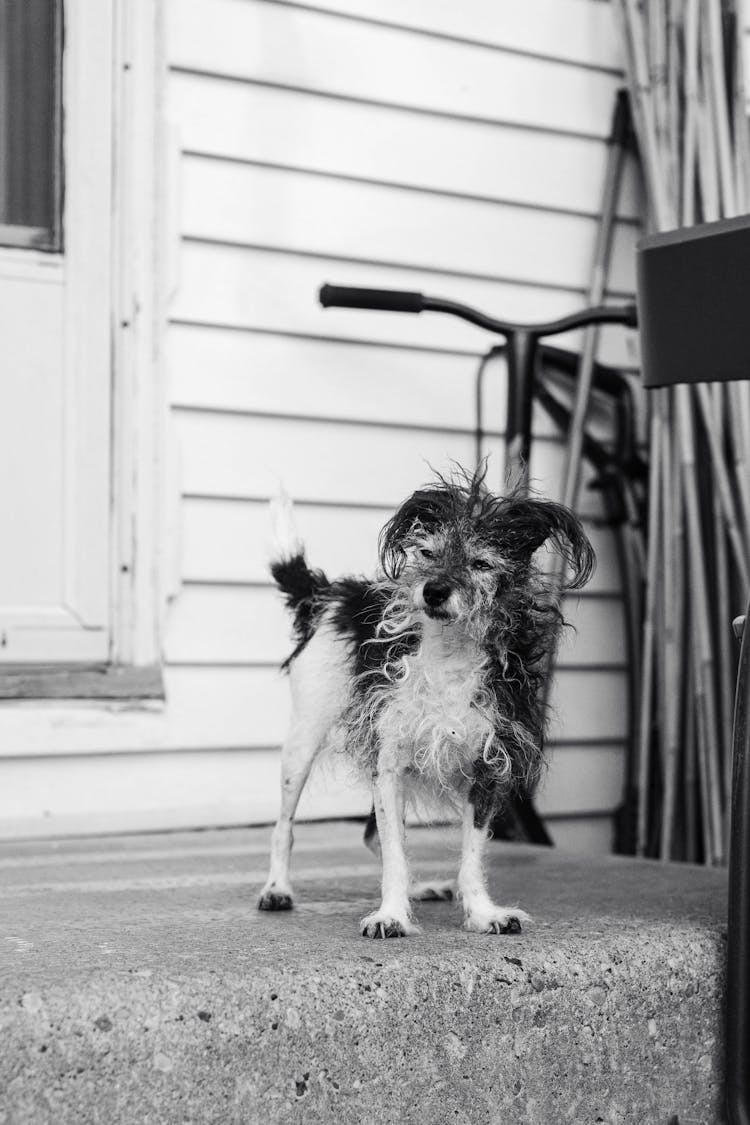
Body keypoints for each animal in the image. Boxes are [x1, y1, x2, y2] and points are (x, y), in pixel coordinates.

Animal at [260, 465, 593, 940]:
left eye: (481, 563)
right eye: (427, 553)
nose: (433, 590)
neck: (449, 653)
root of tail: (331, 594)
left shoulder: (487, 768)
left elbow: (469, 857)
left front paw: (482, 913)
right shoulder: (388, 763)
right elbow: (395, 852)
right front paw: (390, 916)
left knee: (375, 836)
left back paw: (419, 889)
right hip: (303, 738)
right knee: (285, 825)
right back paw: (277, 889)